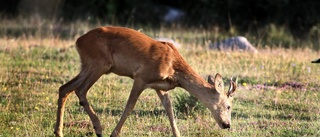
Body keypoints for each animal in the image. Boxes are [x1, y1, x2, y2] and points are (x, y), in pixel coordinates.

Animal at [53, 26, 238, 137]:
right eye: (229, 106)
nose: (227, 125)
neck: (174, 67)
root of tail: (78, 41)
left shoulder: (160, 86)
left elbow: (169, 109)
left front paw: (177, 134)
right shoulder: (141, 77)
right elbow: (129, 106)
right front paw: (115, 133)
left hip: (87, 65)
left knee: (65, 88)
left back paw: (59, 131)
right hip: (100, 64)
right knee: (80, 90)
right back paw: (98, 129)